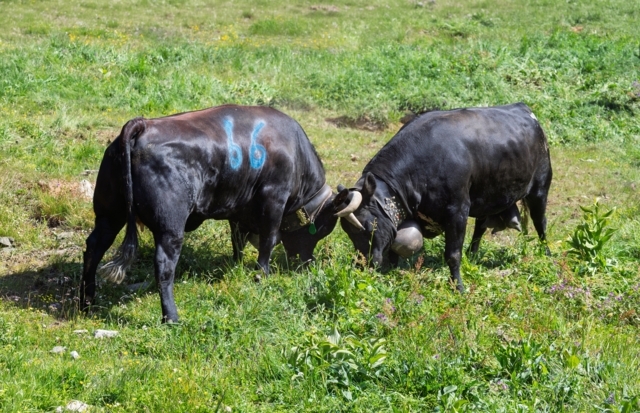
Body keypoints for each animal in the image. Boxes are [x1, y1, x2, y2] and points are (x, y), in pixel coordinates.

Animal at [81, 105, 340, 322]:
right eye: (320, 230)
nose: (306, 263)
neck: (295, 151)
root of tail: (143, 125)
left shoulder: (238, 208)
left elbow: (238, 240)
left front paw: (237, 266)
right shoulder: (274, 197)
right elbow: (269, 240)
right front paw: (261, 275)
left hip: (109, 214)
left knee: (94, 247)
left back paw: (87, 302)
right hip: (170, 227)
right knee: (163, 265)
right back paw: (171, 317)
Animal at [333, 102, 552, 292]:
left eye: (367, 227)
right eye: (348, 233)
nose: (362, 264)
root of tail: (523, 108)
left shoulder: (458, 211)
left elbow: (452, 254)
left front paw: (459, 288)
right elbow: (396, 247)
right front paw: (392, 273)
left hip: (540, 188)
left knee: (540, 223)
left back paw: (547, 254)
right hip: (487, 195)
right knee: (480, 226)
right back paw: (472, 255)